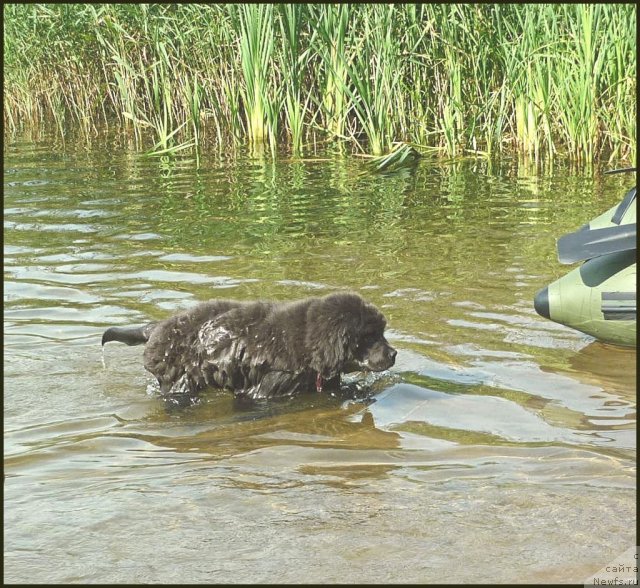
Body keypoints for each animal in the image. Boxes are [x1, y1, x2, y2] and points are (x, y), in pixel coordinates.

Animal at [101, 292, 396, 400]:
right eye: (370, 337)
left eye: (382, 333)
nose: (394, 353)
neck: (309, 343)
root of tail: (156, 329)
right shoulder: (265, 389)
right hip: (178, 383)